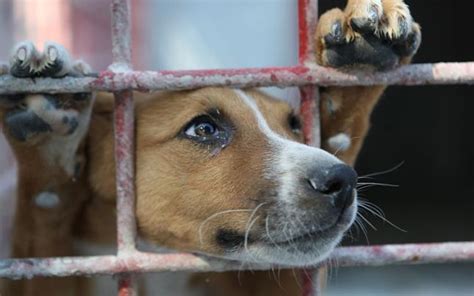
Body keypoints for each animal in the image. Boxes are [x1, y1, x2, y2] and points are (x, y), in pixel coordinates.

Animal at [0, 1, 422, 294]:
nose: (343, 181)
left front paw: (360, 52)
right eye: (203, 129)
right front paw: (46, 146)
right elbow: (41, 226)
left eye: (296, 124)